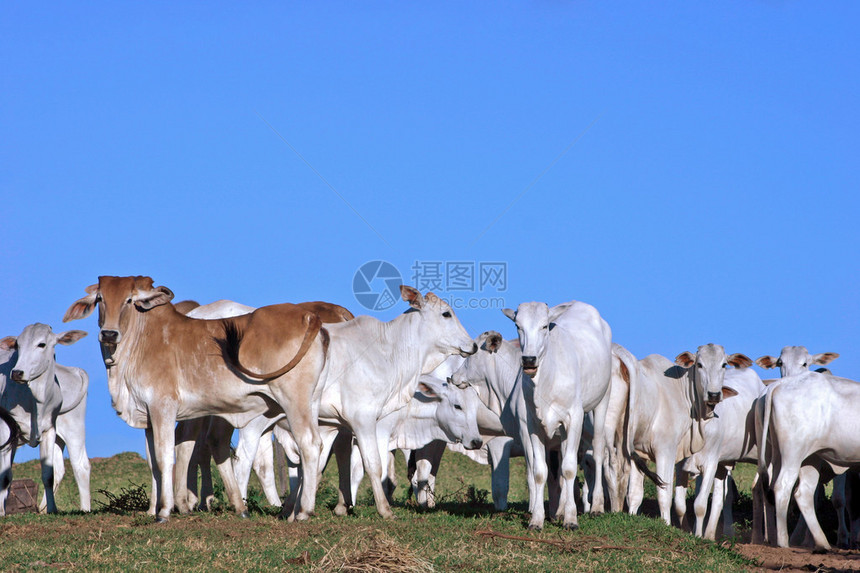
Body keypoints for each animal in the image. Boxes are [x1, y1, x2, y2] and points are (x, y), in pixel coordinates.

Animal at [0, 324, 92, 516]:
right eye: (17, 345)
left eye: (41, 344)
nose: (17, 373)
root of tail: (74, 370)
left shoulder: (48, 429)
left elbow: (46, 474)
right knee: (70, 466)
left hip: (74, 428)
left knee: (79, 465)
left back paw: (84, 509)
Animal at [500, 302, 616, 528]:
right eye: (518, 326)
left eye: (545, 326)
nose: (529, 359)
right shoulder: (532, 424)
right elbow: (540, 471)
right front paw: (537, 519)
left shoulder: (575, 417)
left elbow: (569, 468)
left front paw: (571, 519)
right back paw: (560, 510)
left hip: (602, 401)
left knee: (598, 451)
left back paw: (596, 507)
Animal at [624, 344, 752, 528]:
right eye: (699, 364)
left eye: (724, 364)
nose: (714, 394)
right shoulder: (673, 459)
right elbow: (674, 501)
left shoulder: (710, 463)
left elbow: (699, 504)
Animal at [760, 370, 860, 548]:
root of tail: (778, 384)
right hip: (793, 454)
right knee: (783, 487)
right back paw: (783, 542)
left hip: (799, 458)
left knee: (801, 493)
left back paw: (821, 543)